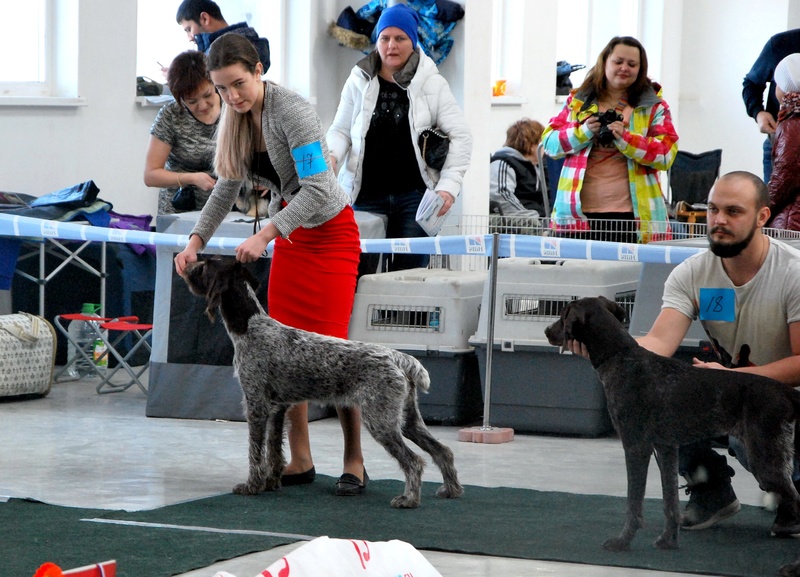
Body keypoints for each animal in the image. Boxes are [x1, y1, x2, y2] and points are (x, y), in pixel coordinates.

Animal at [181, 258, 462, 506]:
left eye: (205, 265)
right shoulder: (277, 409)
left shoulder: (256, 406)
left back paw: (408, 499)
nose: (185, 265)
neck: (249, 327)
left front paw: (252, 486)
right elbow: (274, 450)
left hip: (381, 421)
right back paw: (451, 490)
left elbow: (255, 452)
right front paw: (271, 482)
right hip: (407, 420)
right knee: (443, 451)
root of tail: (398, 357)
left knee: (414, 462)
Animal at [548, 294, 800, 552]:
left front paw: (622, 541)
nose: (547, 330)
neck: (620, 356)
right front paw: (668, 540)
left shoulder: (636, 447)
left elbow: (633, 503)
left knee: (794, 497)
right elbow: (670, 502)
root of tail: (785, 392)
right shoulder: (666, 449)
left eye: (564, 314)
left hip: (765, 459)